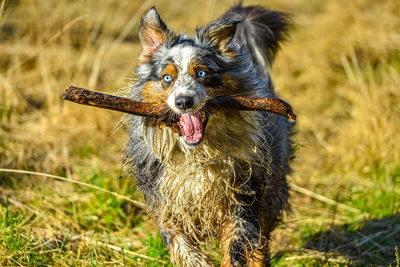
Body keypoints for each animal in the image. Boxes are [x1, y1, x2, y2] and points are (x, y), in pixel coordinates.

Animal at [126, 3, 294, 266]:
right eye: (167, 78)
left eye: (202, 74)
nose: (183, 101)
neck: (197, 154)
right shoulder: (164, 198)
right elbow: (180, 243)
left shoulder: (242, 196)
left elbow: (237, 244)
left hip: (271, 185)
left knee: (260, 240)